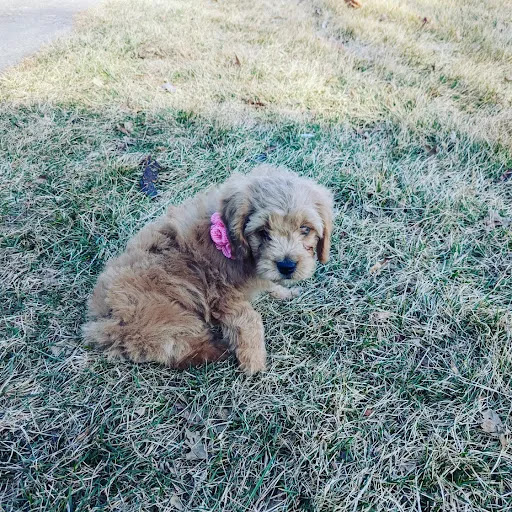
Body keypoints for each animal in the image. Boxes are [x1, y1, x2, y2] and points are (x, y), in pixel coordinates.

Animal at [82, 166, 334, 374]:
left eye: (305, 229)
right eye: (263, 231)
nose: (287, 266)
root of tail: (104, 321)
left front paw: (284, 292)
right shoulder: (222, 293)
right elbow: (249, 319)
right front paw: (254, 361)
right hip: (168, 314)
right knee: (178, 347)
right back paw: (219, 350)